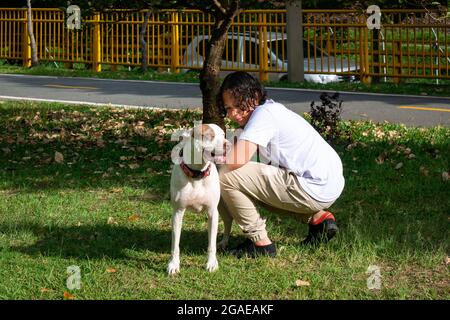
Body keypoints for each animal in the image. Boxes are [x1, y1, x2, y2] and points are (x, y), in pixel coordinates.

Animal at [168, 123, 230, 276]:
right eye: (210, 136)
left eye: (223, 135)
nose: (228, 144)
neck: (197, 173)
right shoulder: (177, 213)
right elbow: (175, 244)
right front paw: (173, 264)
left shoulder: (213, 213)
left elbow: (211, 243)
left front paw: (212, 263)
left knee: (228, 222)